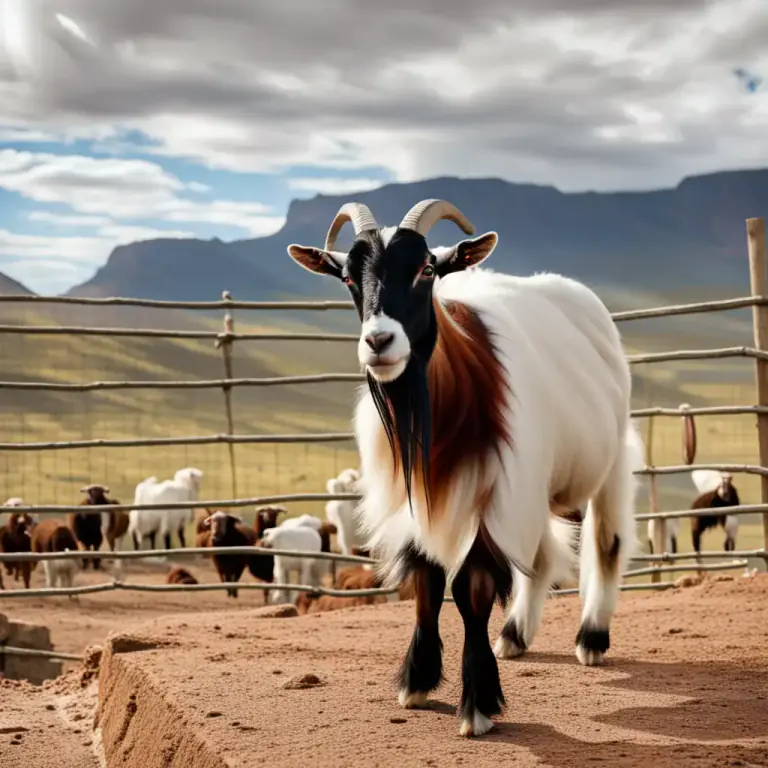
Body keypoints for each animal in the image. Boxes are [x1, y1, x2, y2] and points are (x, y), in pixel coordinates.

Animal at [287, 199, 642, 737]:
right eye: (348, 276)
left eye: (427, 269)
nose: (379, 341)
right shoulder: (417, 496)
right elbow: (426, 582)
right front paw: (416, 680)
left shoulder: (498, 494)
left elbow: (471, 588)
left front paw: (477, 705)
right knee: (540, 556)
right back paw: (515, 635)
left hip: (609, 455)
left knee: (606, 543)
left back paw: (592, 638)